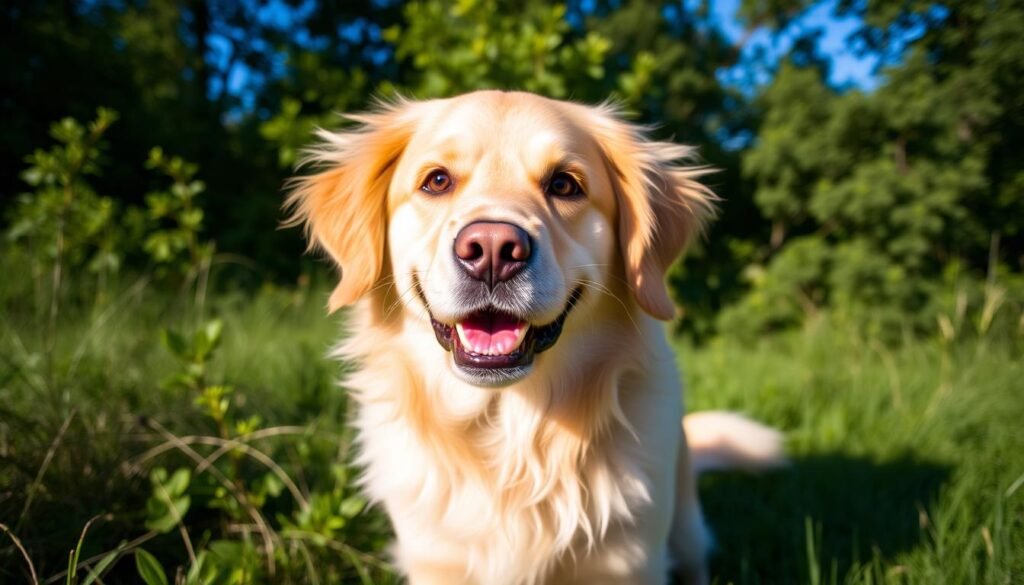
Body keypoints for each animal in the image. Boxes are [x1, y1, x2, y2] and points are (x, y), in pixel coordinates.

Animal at [288, 91, 782, 585]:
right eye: (437, 180)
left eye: (564, 185)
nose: (491, 250)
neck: (508, 429)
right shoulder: (435, 561)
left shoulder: (629, 562)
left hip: (685, 527)